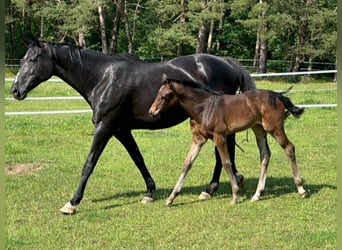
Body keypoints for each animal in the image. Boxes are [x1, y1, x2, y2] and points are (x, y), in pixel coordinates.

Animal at [10, 36, 255, 214]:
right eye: (22, 60)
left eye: (33, 60)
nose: (15, 90)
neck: (103, 78)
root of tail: (227, 62)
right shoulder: (121, 130)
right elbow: (138, 158)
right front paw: (149, 192)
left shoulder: (105, 127)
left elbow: (89, 164)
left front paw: (72, 203)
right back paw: (229, 181)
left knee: (221, 153)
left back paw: (210, 189)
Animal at [149, 75, 308, 205]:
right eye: (157, 93)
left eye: (165, 95)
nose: (152, 112)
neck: (204, 107)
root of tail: (278, 96)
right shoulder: (198, 138)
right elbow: (187, 164)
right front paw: (171, 198)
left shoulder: (219, 136)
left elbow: (226, 162)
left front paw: (235, 195)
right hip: (259, 129)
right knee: (265, 154)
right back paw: (257, 195)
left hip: (274, 128)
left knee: (289, 147)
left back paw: (301, 189)